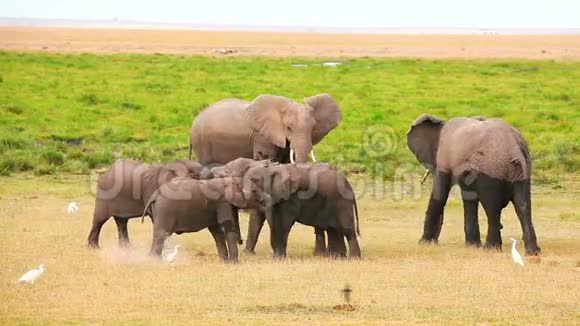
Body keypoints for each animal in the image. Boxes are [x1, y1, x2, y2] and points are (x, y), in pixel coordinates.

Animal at [406, 113, 540, 256]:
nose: (435, 242)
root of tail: (515, 150)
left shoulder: (444, 158)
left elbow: (440, 195)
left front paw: (423, 243)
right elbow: (468, 198)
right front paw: (472, 246)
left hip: (490, 170)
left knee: (492, 208)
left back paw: (491, 248)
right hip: (523, 171)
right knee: (523, 206)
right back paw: (533, 252)